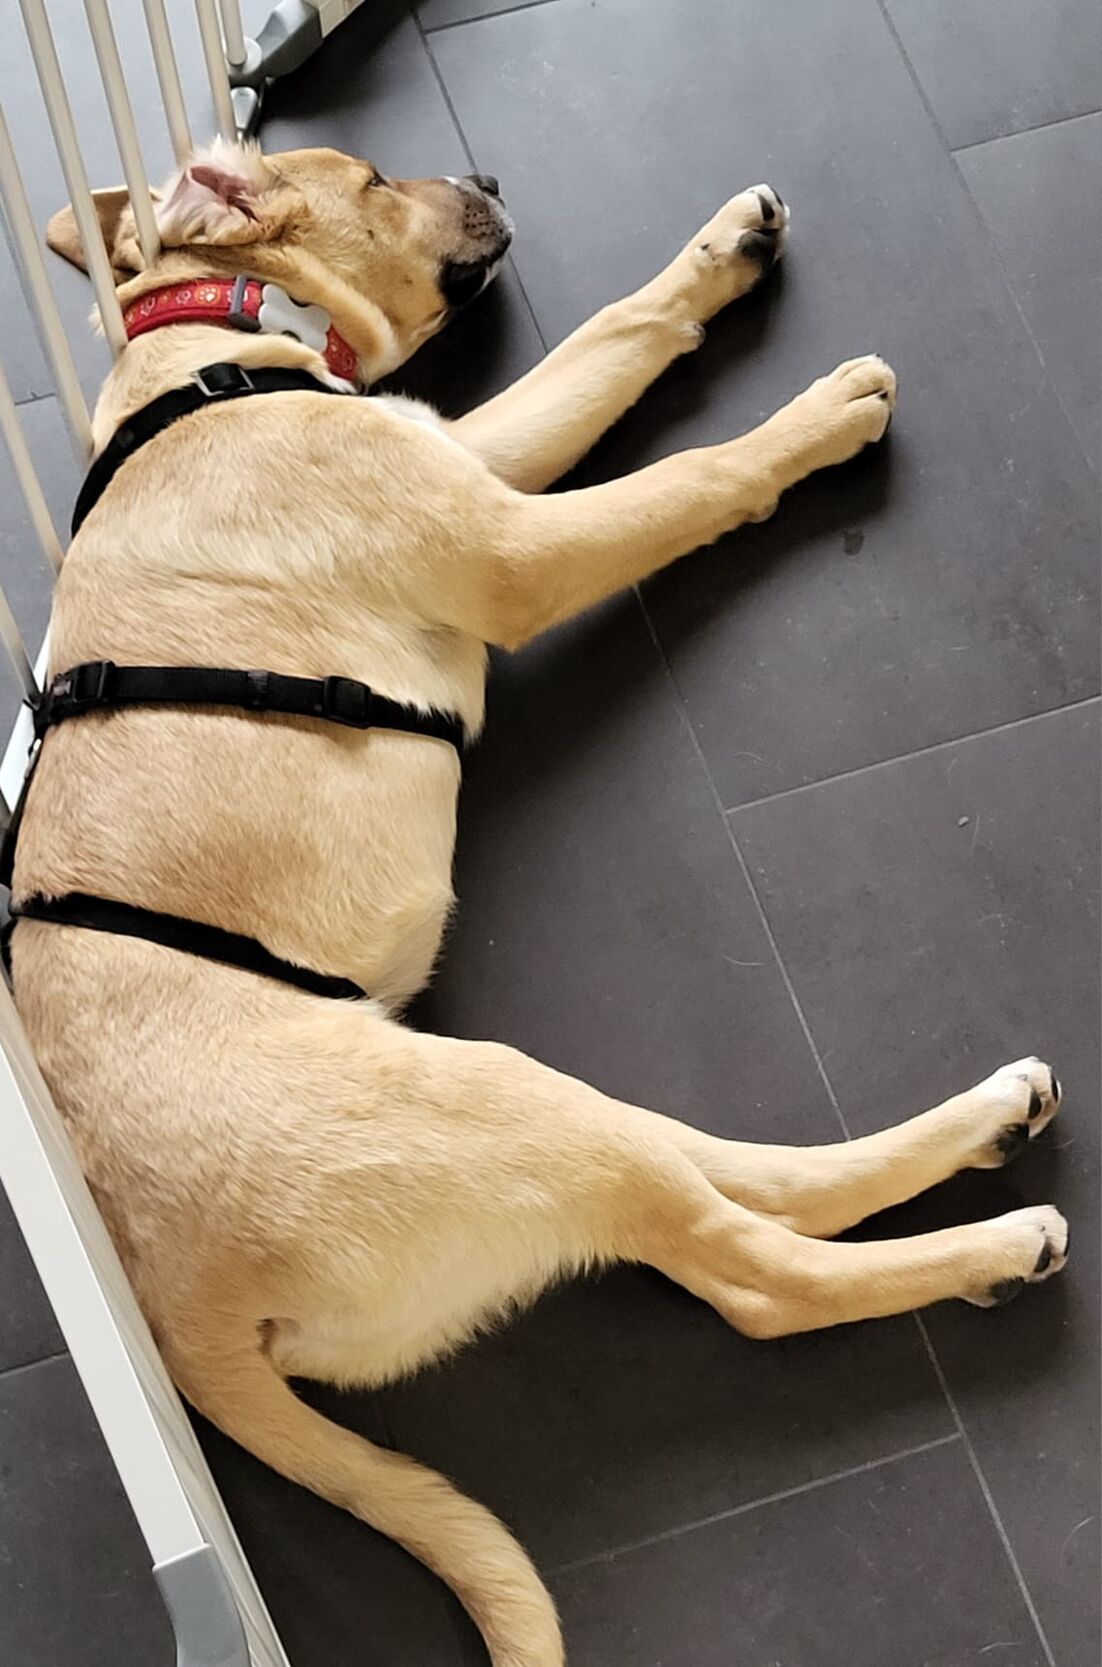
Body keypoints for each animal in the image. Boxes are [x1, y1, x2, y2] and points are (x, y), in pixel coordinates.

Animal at [9, 140, 1067, 1666]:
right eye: (377, 176)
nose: (487, 177)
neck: (198, 345)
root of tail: (170, 1315)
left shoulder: (481, 458)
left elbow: (607, 341)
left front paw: (721, 253)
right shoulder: (512, 546)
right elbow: (687, 474)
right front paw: (807, 425)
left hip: (522, 1110)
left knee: (732, 1177)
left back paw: (987, 1122)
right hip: (491, 1108)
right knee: (753, 1275)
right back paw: (997, 1241)